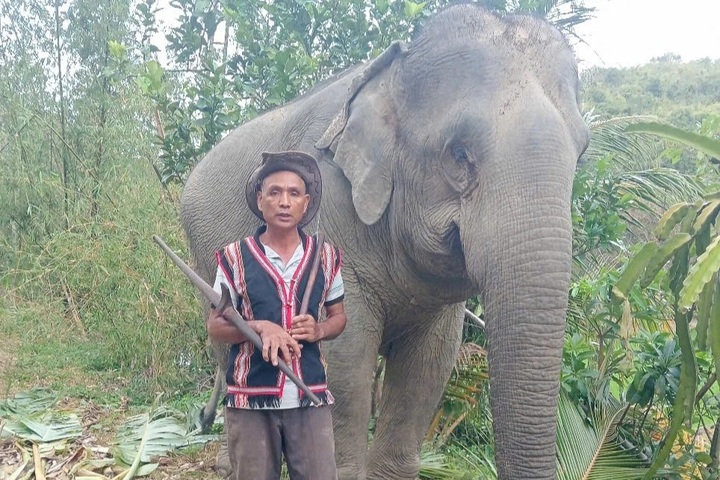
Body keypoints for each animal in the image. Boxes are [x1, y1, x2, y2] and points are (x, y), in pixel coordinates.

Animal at [179, 4, 589, 480]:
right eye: (459, 154)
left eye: (582, 154)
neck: (394, 70)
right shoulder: (330, 210)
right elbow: (344, 357)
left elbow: (429, 365)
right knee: (225, 342)